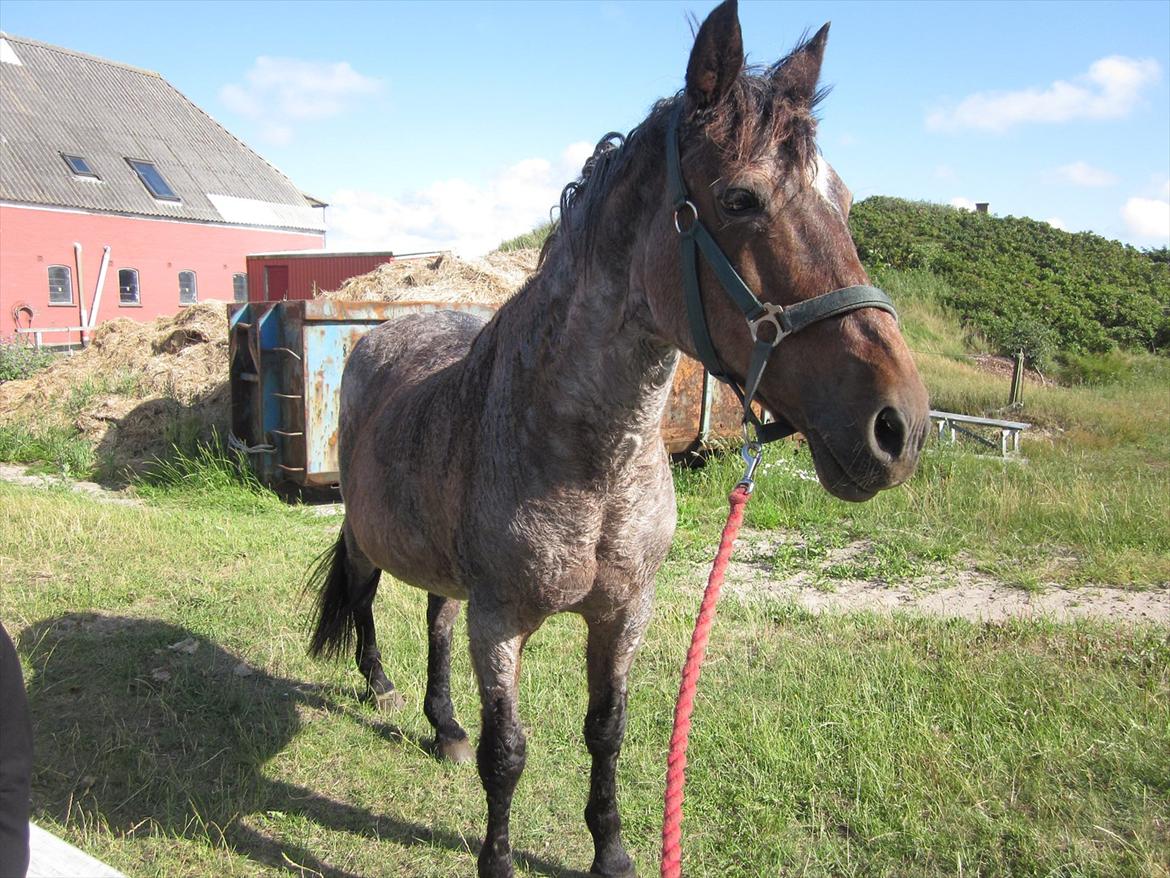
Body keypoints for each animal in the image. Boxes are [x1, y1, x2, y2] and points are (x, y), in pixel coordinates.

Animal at [306, 3, 926, 875]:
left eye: (841, 196)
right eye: (741, 198)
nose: (898, 426)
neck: (592, 461)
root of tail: (375, 335)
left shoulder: (625, 612)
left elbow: (606, 732)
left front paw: (613, 852)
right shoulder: (503, 621)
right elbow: (508, 755)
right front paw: (497, 858)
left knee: (435, 618)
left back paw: (444, 724)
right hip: (368, 534)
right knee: (365, 597)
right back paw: (384, 688)